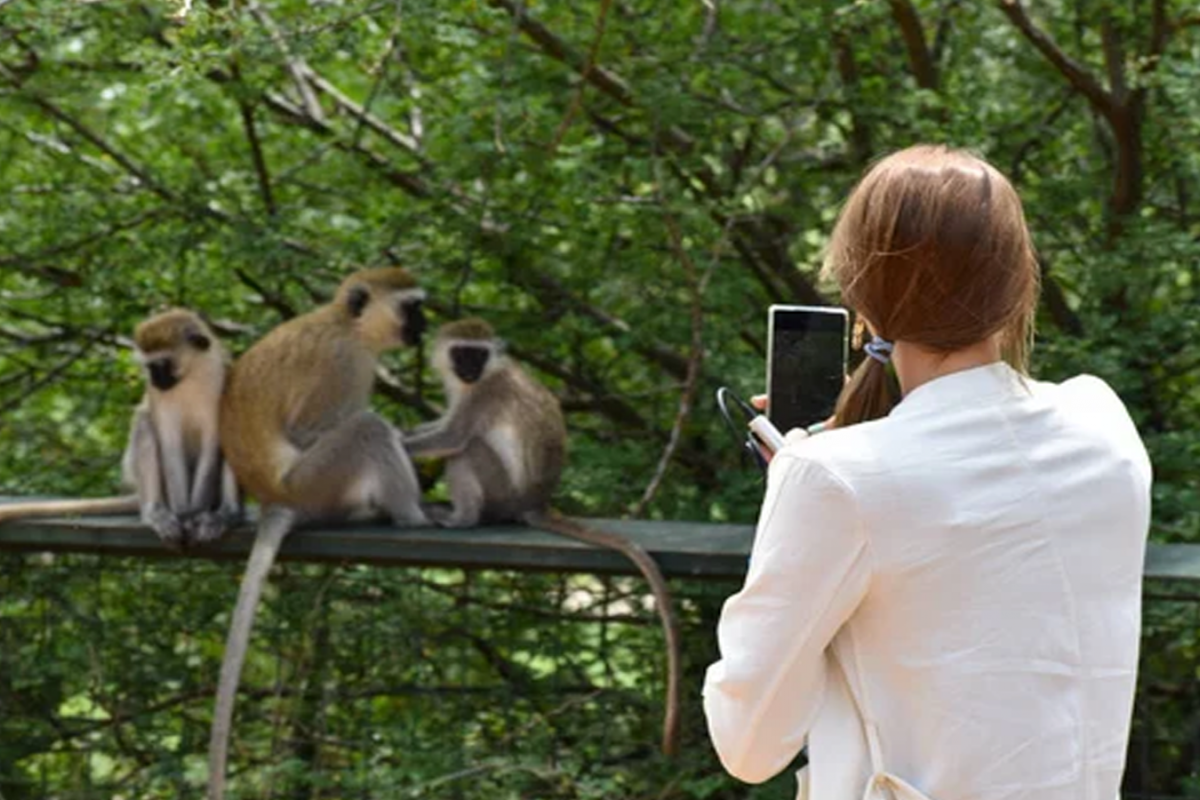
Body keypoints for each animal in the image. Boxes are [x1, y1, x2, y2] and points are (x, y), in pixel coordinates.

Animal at [0, 309, 241, 551]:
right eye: (150, 367)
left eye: (162, 364)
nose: (155, 380)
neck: (192, 376)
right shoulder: (158, 397)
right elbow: (169, 446)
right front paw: (184, 515)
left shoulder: (222, 379)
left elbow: (214, 443)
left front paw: (196, 515)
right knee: (144, 423)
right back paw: (156, 513)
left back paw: (226, 515)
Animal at [210, 268, 432, 800]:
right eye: (412, 307)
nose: (426, 325)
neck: (346, 325)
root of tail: (276, 497)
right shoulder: (343, 364)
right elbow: (310, 430)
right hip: (316, 479)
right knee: (366, 428)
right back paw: (406, 514)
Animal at [405, 316, 681, 758]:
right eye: (461, 353)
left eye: (478, 354)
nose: (469, 370)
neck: (483, 378)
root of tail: (537, 501)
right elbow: (438, 427)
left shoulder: (484, 395)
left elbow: (451, 437)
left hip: (502, 492)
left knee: (468, 449)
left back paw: (461, 518)